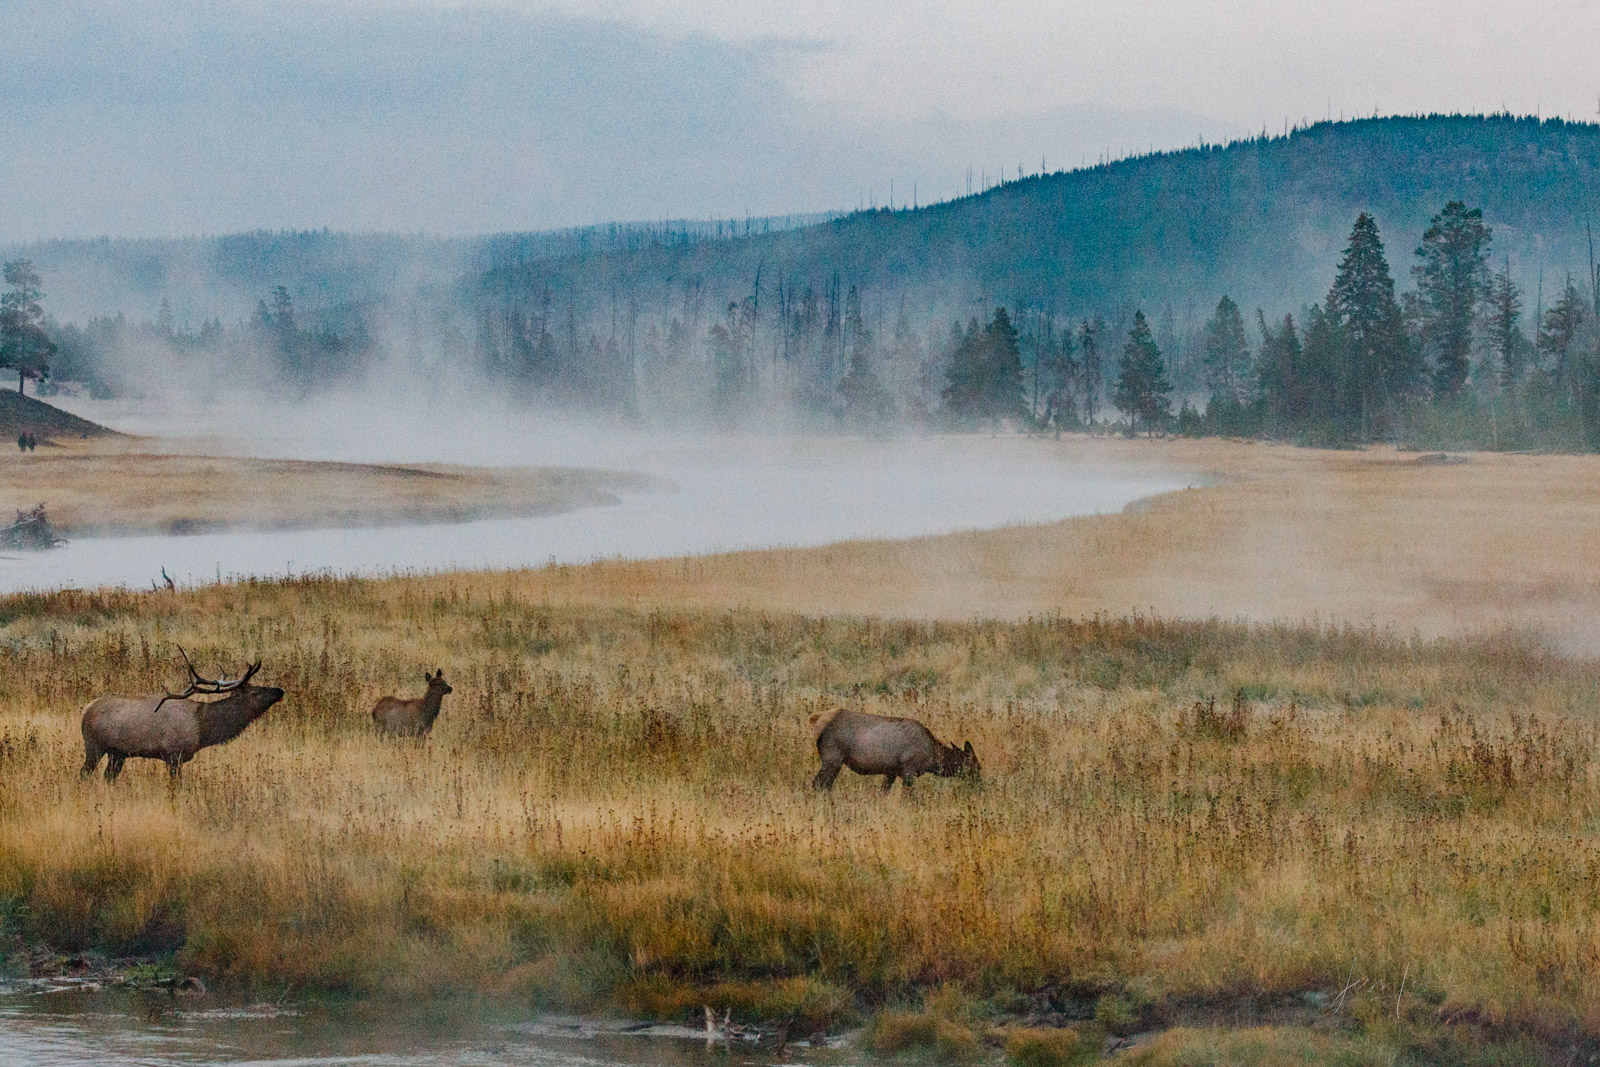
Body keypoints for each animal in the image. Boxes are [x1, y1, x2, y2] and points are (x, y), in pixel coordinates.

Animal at [81, 646, 284, 780]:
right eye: (255, 692)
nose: (280, 690)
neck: (202, 729)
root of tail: (85, 710)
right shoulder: (173, 756)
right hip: (94, 746)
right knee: (84, 772)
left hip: (117, 754)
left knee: (108, 777)